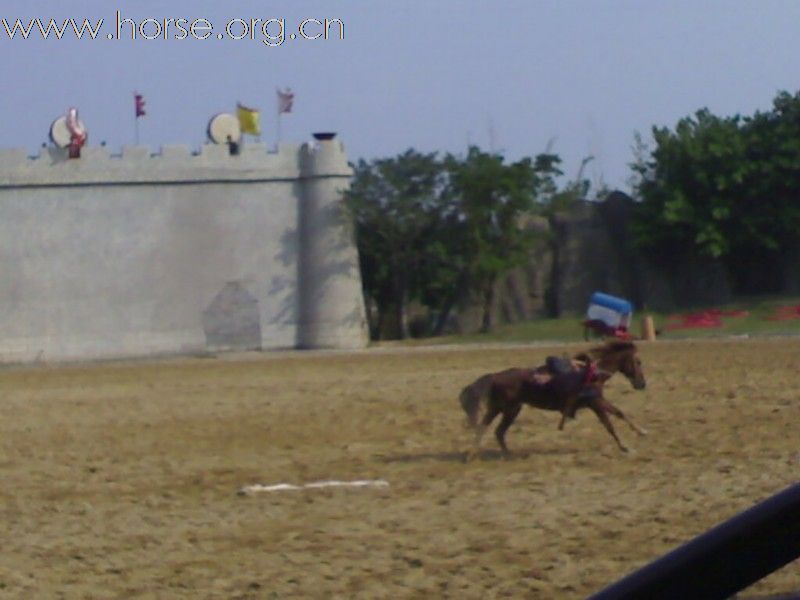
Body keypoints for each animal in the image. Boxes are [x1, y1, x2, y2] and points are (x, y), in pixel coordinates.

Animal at [460, 340, 648, 458]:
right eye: (638, 362)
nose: (642, 384)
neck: (593, 372)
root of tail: (494, 376)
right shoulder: (596, 403)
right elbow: (610, 424)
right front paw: (626, 446)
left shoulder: (598, 401)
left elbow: (619, 413)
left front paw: (642, 432)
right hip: (505, 409)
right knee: (486, 428)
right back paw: (476, 454)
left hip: (508, 409)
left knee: (496, 431)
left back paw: (503, 454)